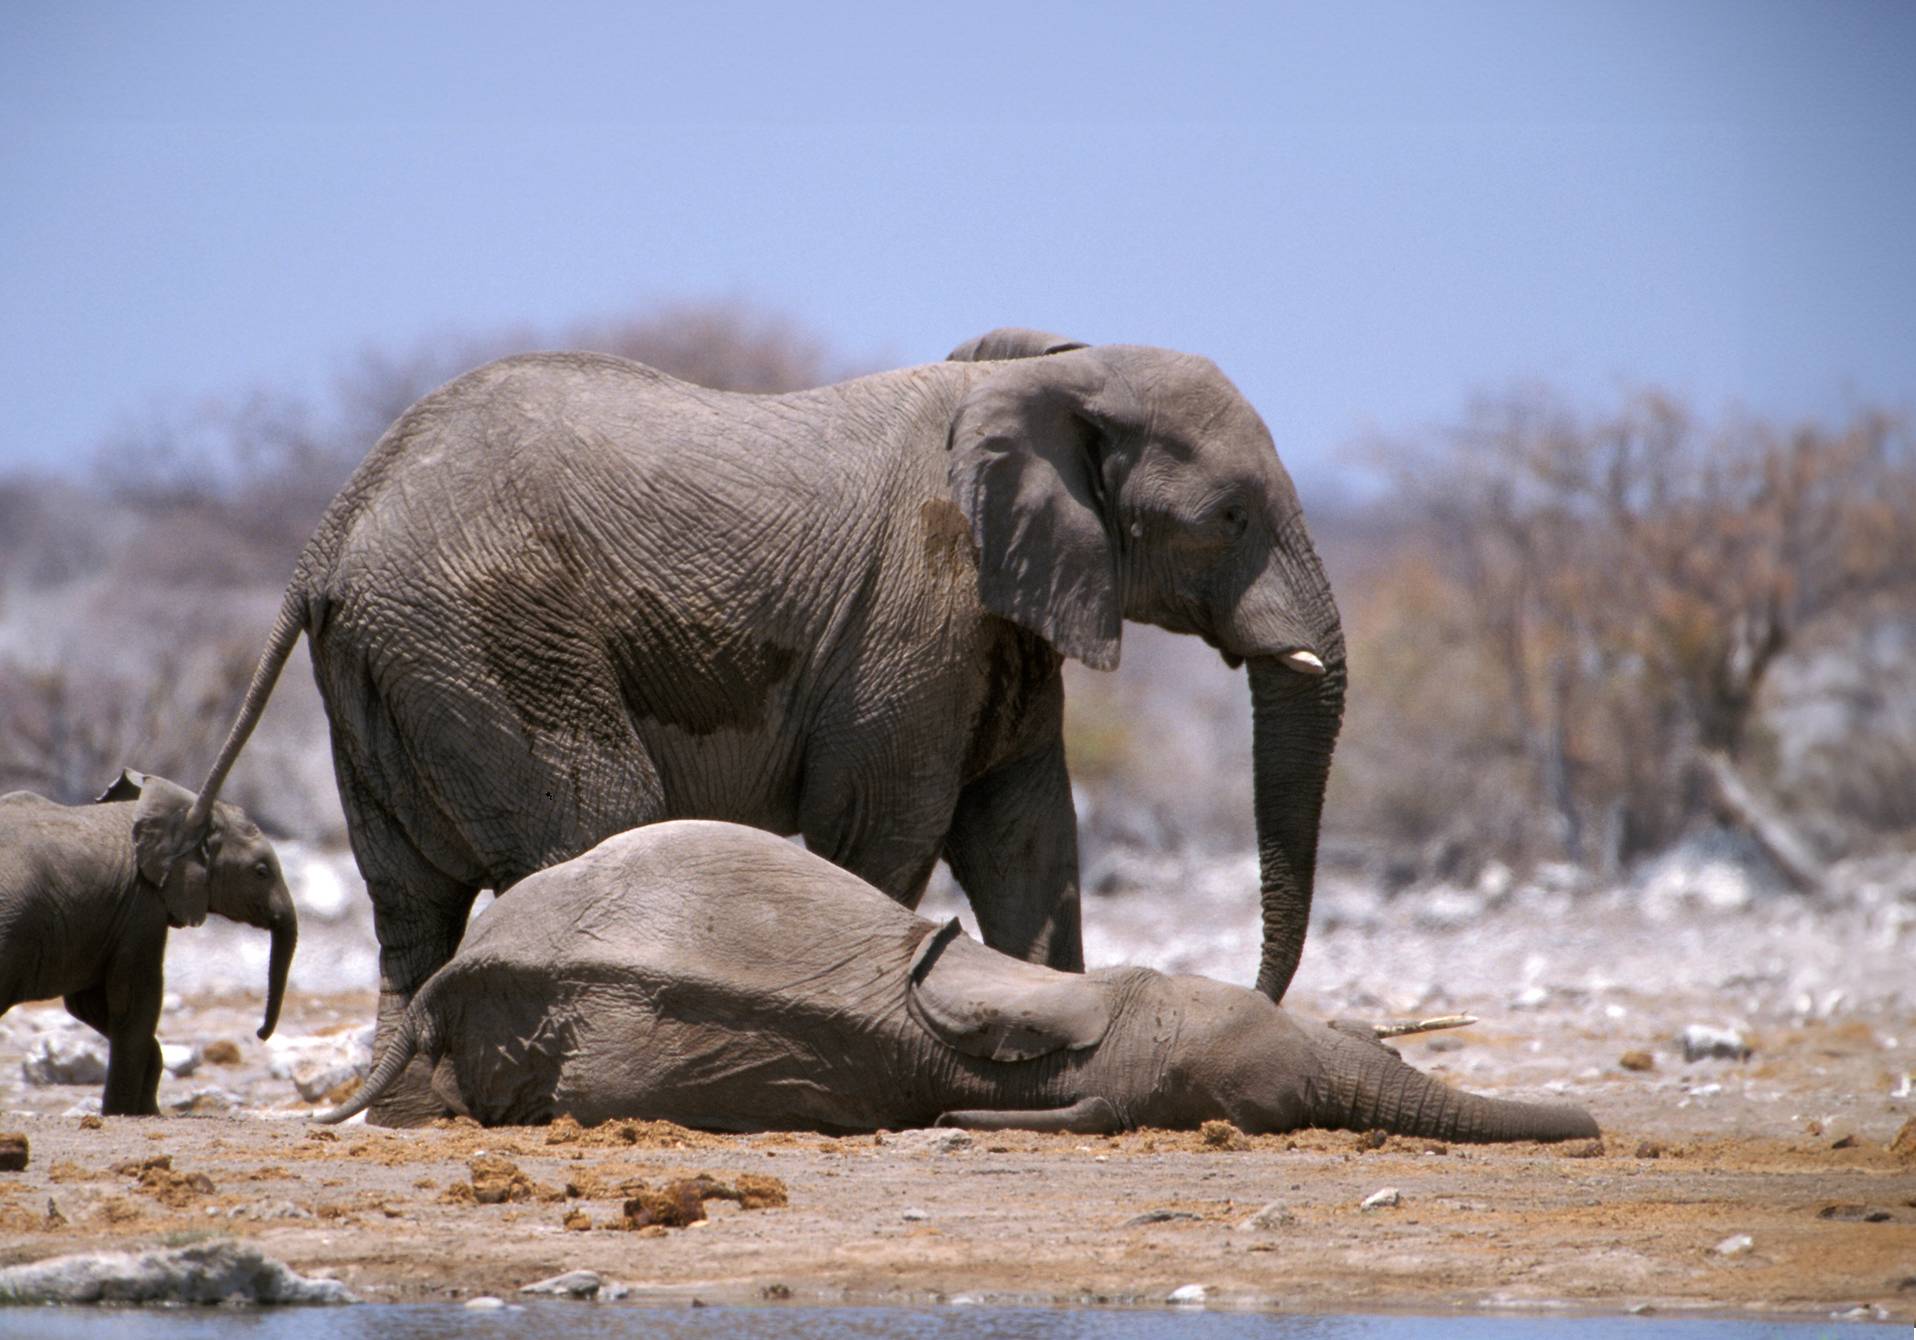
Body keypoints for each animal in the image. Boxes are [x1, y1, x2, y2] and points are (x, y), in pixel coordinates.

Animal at [0, 770, 296, 1119]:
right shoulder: (140, 907)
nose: (260, 1033)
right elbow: (136, 1002)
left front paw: (146, 1111)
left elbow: (90, 1004)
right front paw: (123, 1113)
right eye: (261, 871)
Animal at [157, 325, 1341, 1119]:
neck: (1045, 365)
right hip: (488, 639)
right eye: (1227, 515)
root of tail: (330, 530)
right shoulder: (917, 609)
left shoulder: (1007, 616)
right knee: (594, 822)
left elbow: (1026, 838)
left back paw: (403, 1103)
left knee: (407, 897)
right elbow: (889, 828)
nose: (1255, 996)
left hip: (382, 671)